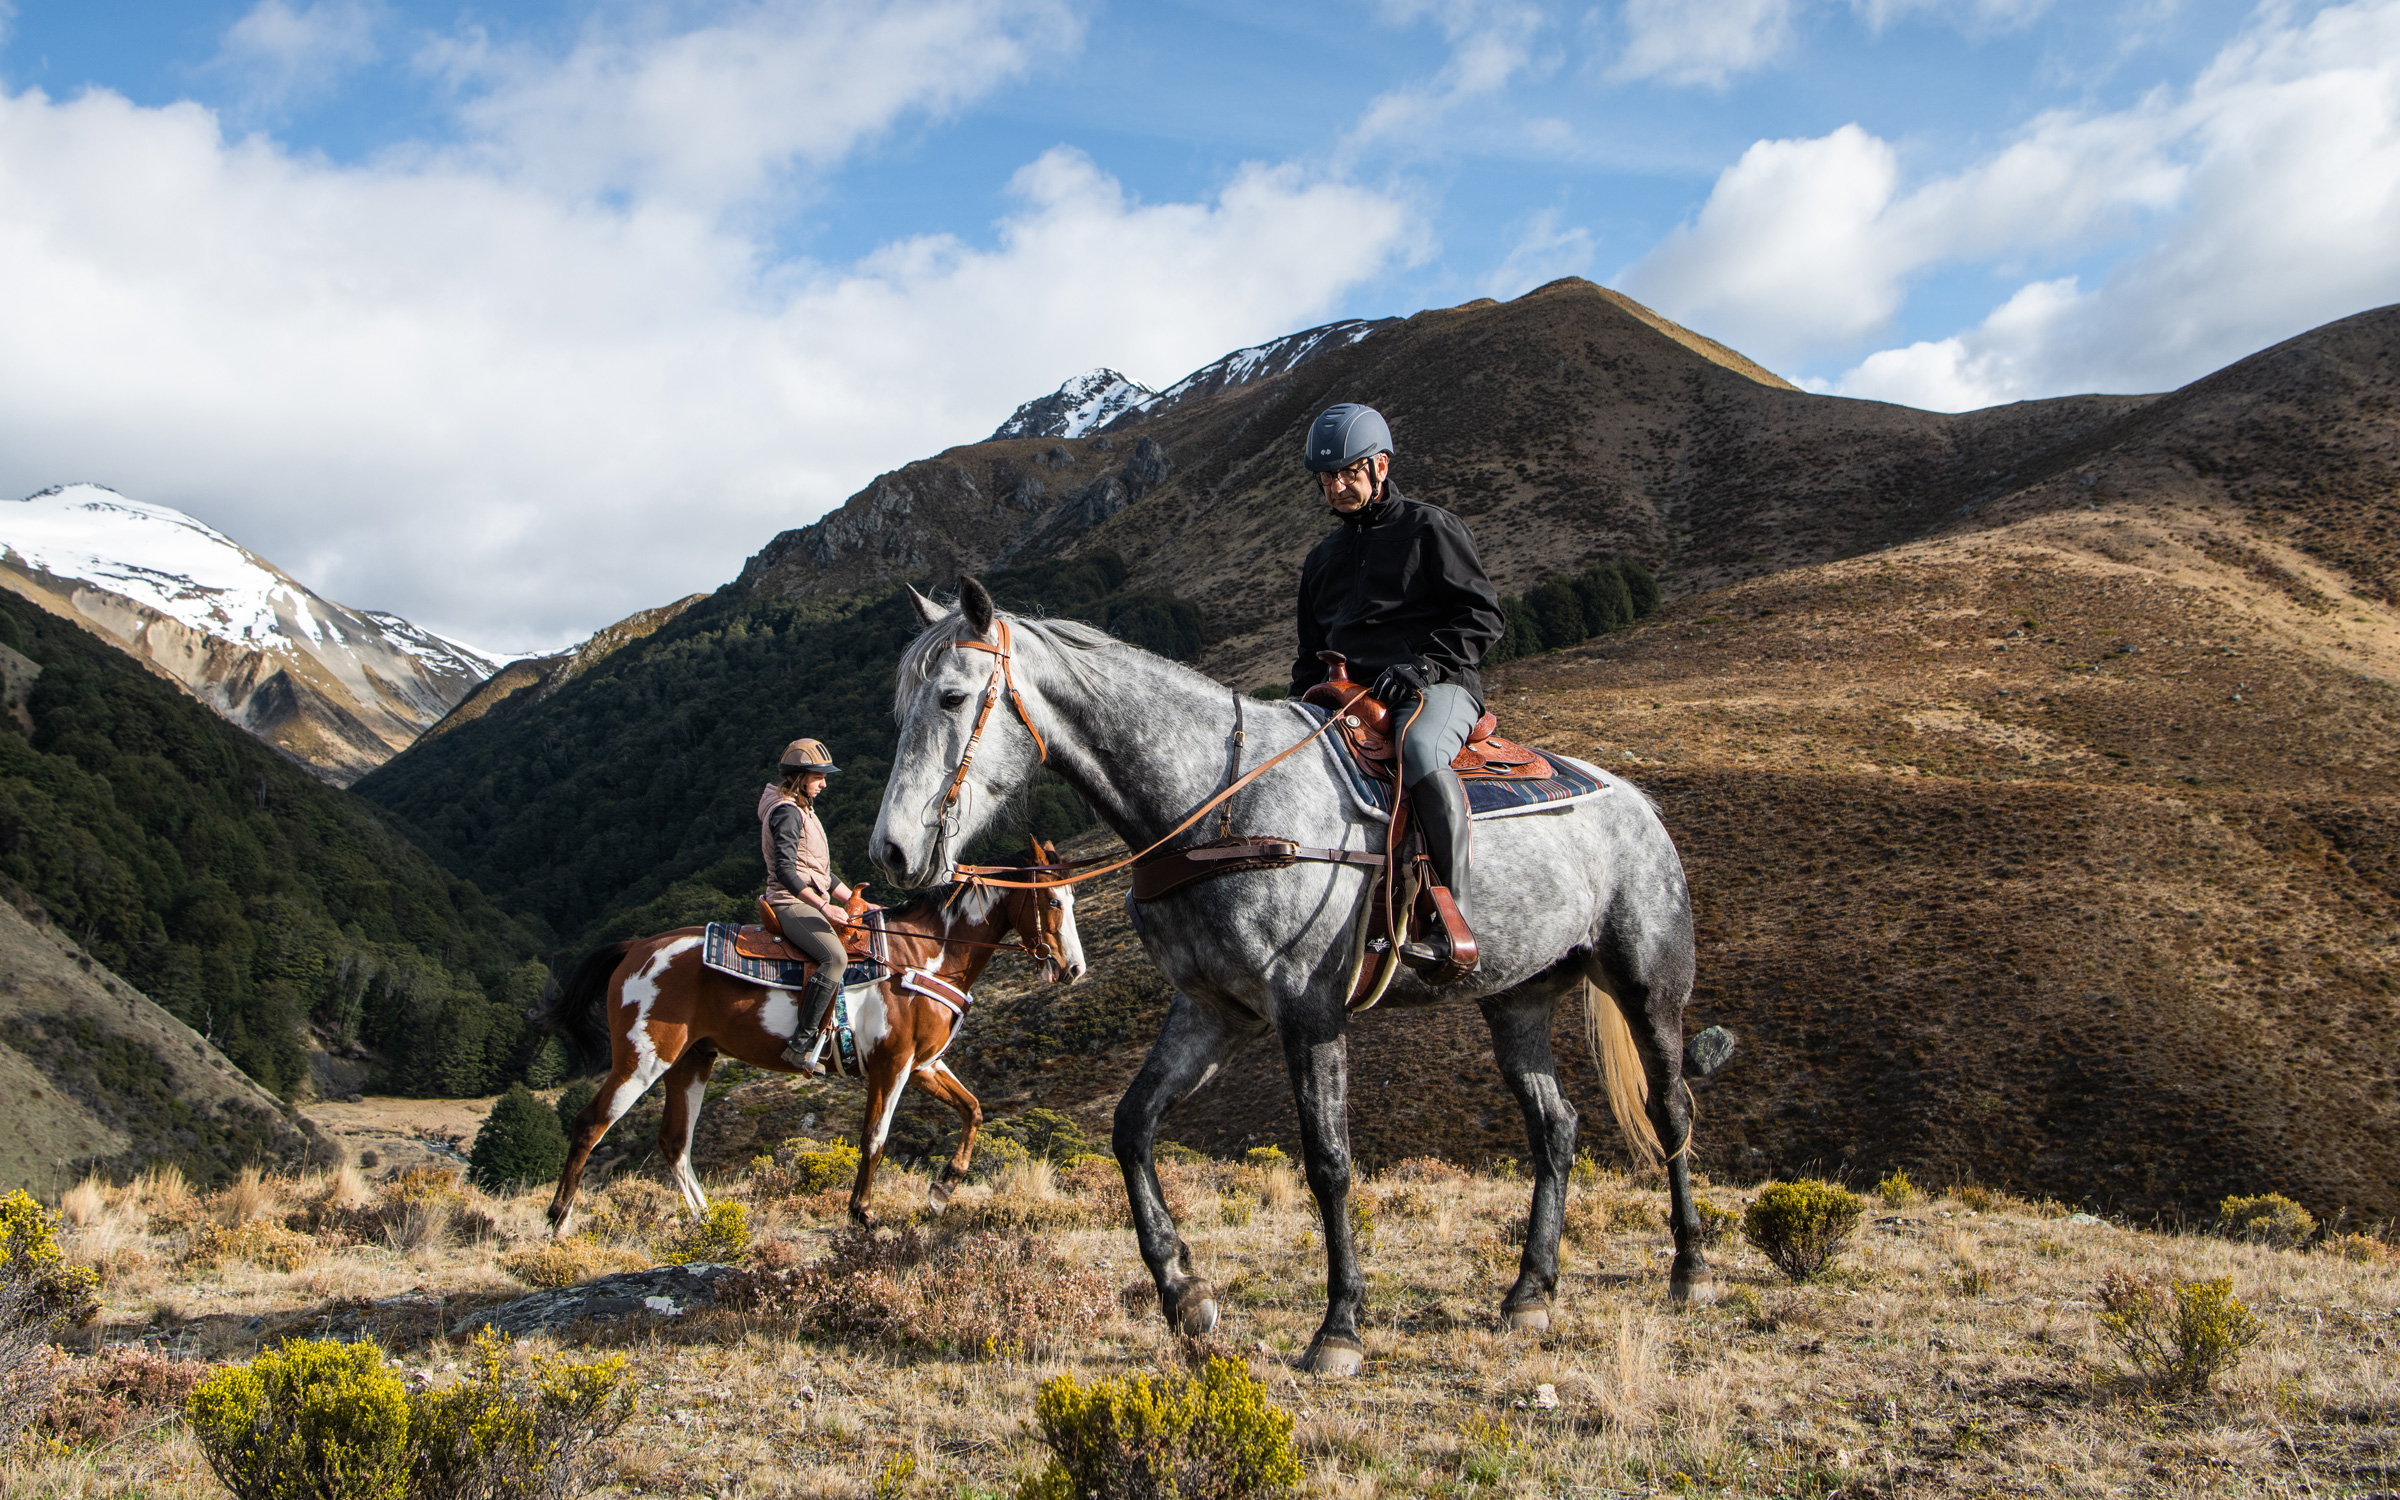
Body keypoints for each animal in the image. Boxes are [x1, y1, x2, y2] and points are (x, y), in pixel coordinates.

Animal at [535, 844, 1089, 1228]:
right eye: (1053, 900)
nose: (1074, 969)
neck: (923, 955)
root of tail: (636, 947)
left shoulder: (923, 1065)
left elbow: (972, 1110)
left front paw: (942, 1190)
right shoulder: (891, 1064)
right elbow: (875, 1137)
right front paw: (862, 1212)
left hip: (692, 1061)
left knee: (674, 1143)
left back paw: (706, 1219)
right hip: (643, 1058)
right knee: (591, 1124)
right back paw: (558, 1221)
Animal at [868, 578, 1708, 1372]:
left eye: (951, 697)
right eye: (900, 704)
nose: (892, 852)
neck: (1218, 804)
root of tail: (1637, 802)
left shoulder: (1310, 1010)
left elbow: (1328, 1162)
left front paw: (1339, 1328)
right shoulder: (1212, 1010)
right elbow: (1132, 1128)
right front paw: (1185, 1293)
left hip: (1647, 987)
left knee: (1668, 1108)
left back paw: (1690, 1269)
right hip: (1515, 1002)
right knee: (1554, 1127)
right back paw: (1530, 1291)